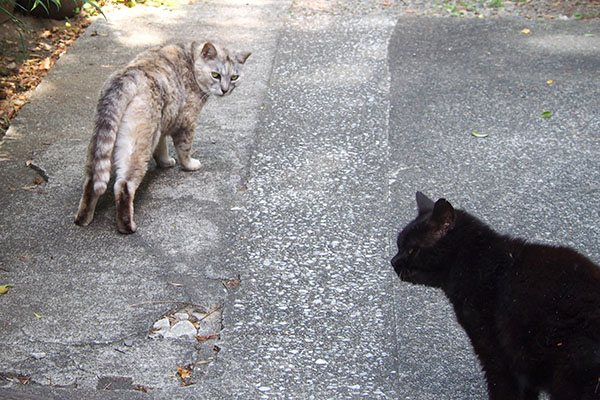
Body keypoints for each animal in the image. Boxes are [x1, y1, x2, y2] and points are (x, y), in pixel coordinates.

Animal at [74, 39, 250, 234]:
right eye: (215, 75)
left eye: (234, 77)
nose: (225, 90)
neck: (190, 58)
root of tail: (127, 76)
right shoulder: (186, 123)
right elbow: (184, 150)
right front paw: (189, 165)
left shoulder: (163, 125)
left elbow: (162, 148)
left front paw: (165, 162)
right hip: (138, 146)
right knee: (123, 185)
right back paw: (126, 226)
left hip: (102, 142)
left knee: (91, 182)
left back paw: (84, 218)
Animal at [392, 192, 600, 398]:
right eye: (398, 245)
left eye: (412, 249)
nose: (393, 261)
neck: (477, 261)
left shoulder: (494, 352)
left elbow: (501, 388)